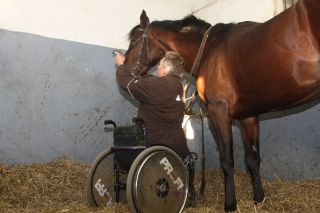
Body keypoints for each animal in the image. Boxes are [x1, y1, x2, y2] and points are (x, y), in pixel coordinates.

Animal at [120, 0, 320, 211]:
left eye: (134, 40)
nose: (126, 67)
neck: (209, 49)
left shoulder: (218, 112)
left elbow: (227, 160)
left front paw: (230, 203)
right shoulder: (248, 117)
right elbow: (253, 159)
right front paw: (258, 198)